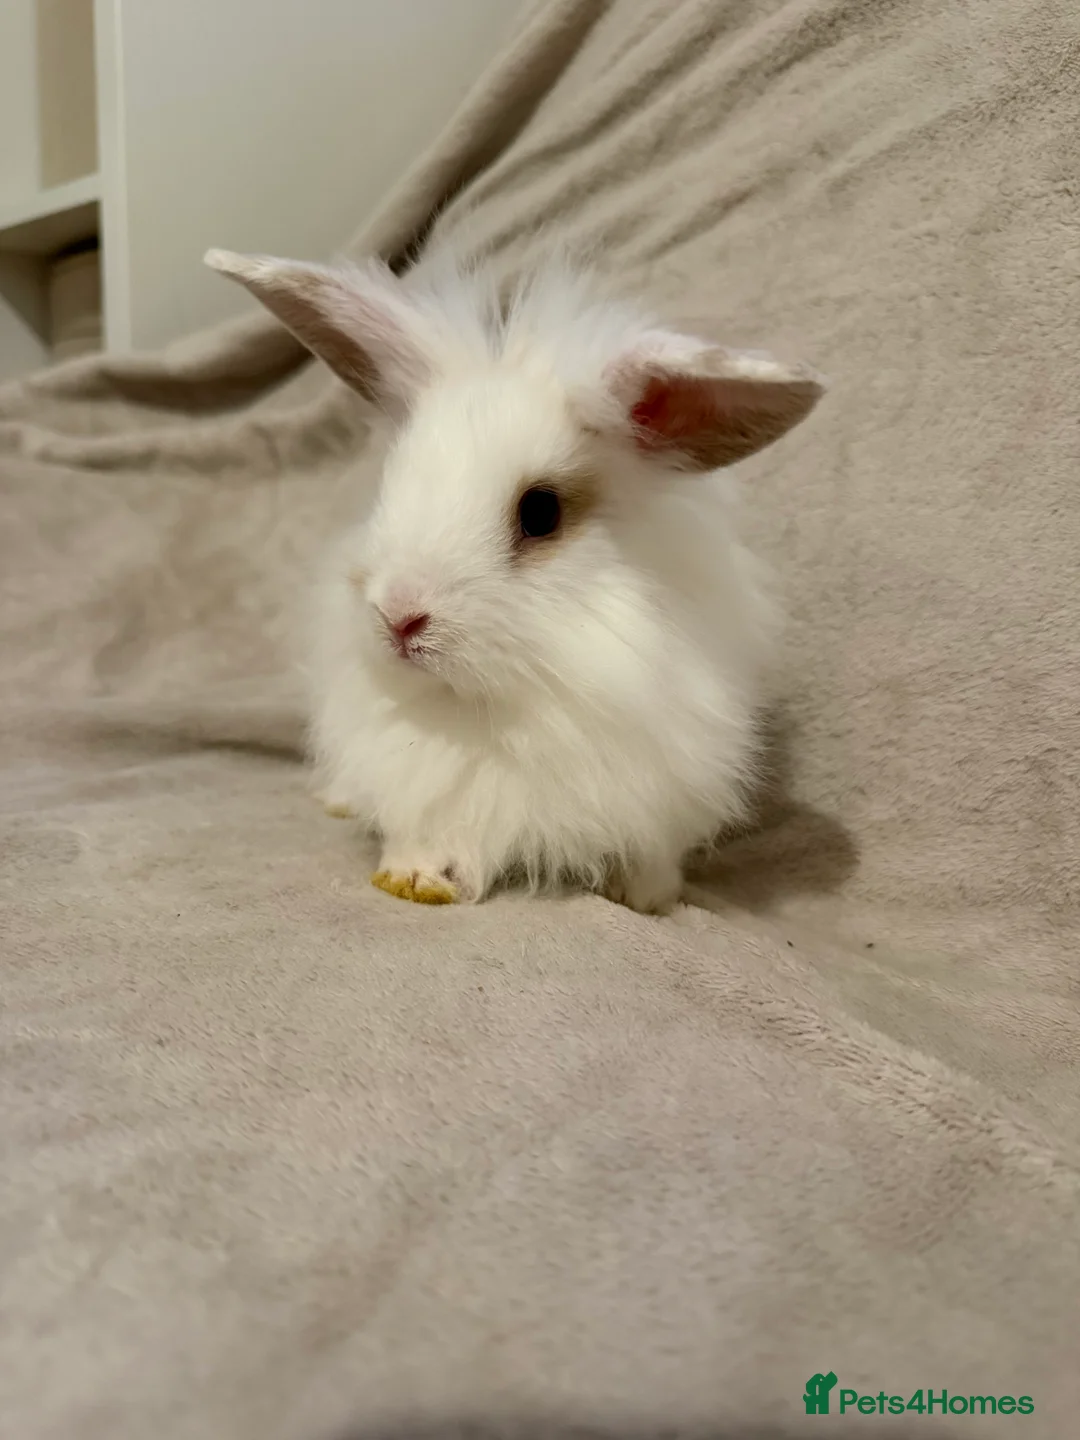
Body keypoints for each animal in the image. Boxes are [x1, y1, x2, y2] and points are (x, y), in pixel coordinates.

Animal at [205, 247, 824, 913]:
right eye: (390, 487)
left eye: (541, 513)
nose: (399, 617)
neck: (499, 707)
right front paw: (413, 881)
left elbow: (650, 857)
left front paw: (648, 898)